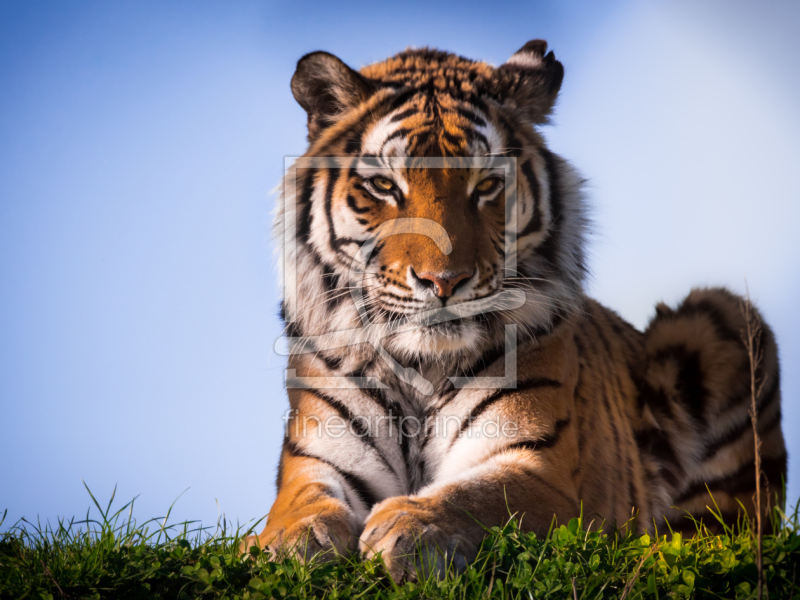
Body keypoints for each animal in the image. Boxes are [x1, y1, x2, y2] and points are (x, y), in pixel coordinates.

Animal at [244, 41, 788, 580]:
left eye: (487, 186)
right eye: (385, 186)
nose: (444, 281)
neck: (422, 365)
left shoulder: (538, 467)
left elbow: (477, 496)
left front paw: (411, 528)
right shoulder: (319, 457)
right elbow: (300, 505)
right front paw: (291, 543)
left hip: (723, 319)